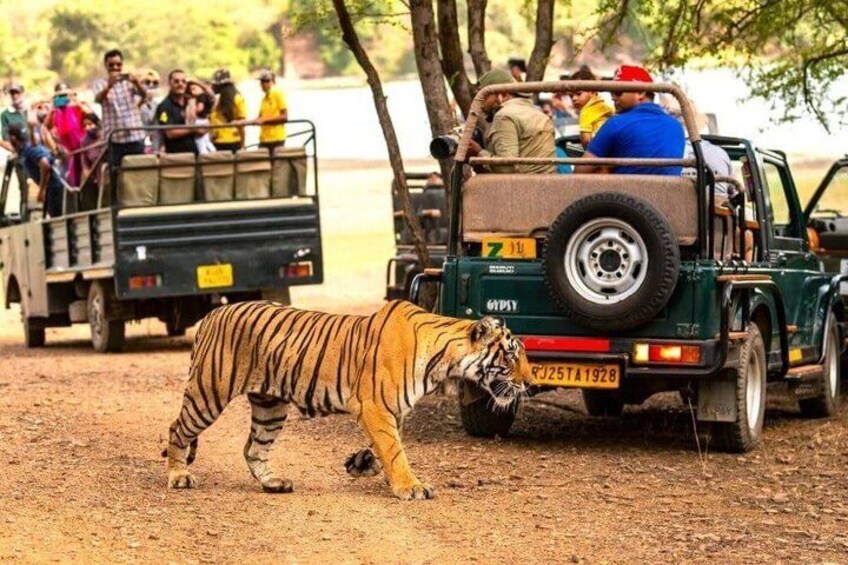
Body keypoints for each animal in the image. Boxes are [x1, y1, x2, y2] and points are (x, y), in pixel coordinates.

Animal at [164, 299, 532, 500]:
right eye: (512, 355)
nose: (529, 382)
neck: (444, 361)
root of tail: (213, 314)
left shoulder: (392, 411)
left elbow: (388, 446)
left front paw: (364, 463)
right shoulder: (374, 406)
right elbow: (395, 449)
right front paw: (410, 486)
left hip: (270, 406)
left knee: (253, 448)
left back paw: (273, 483)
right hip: (208, 393)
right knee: (177, 430)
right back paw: (178, 476)